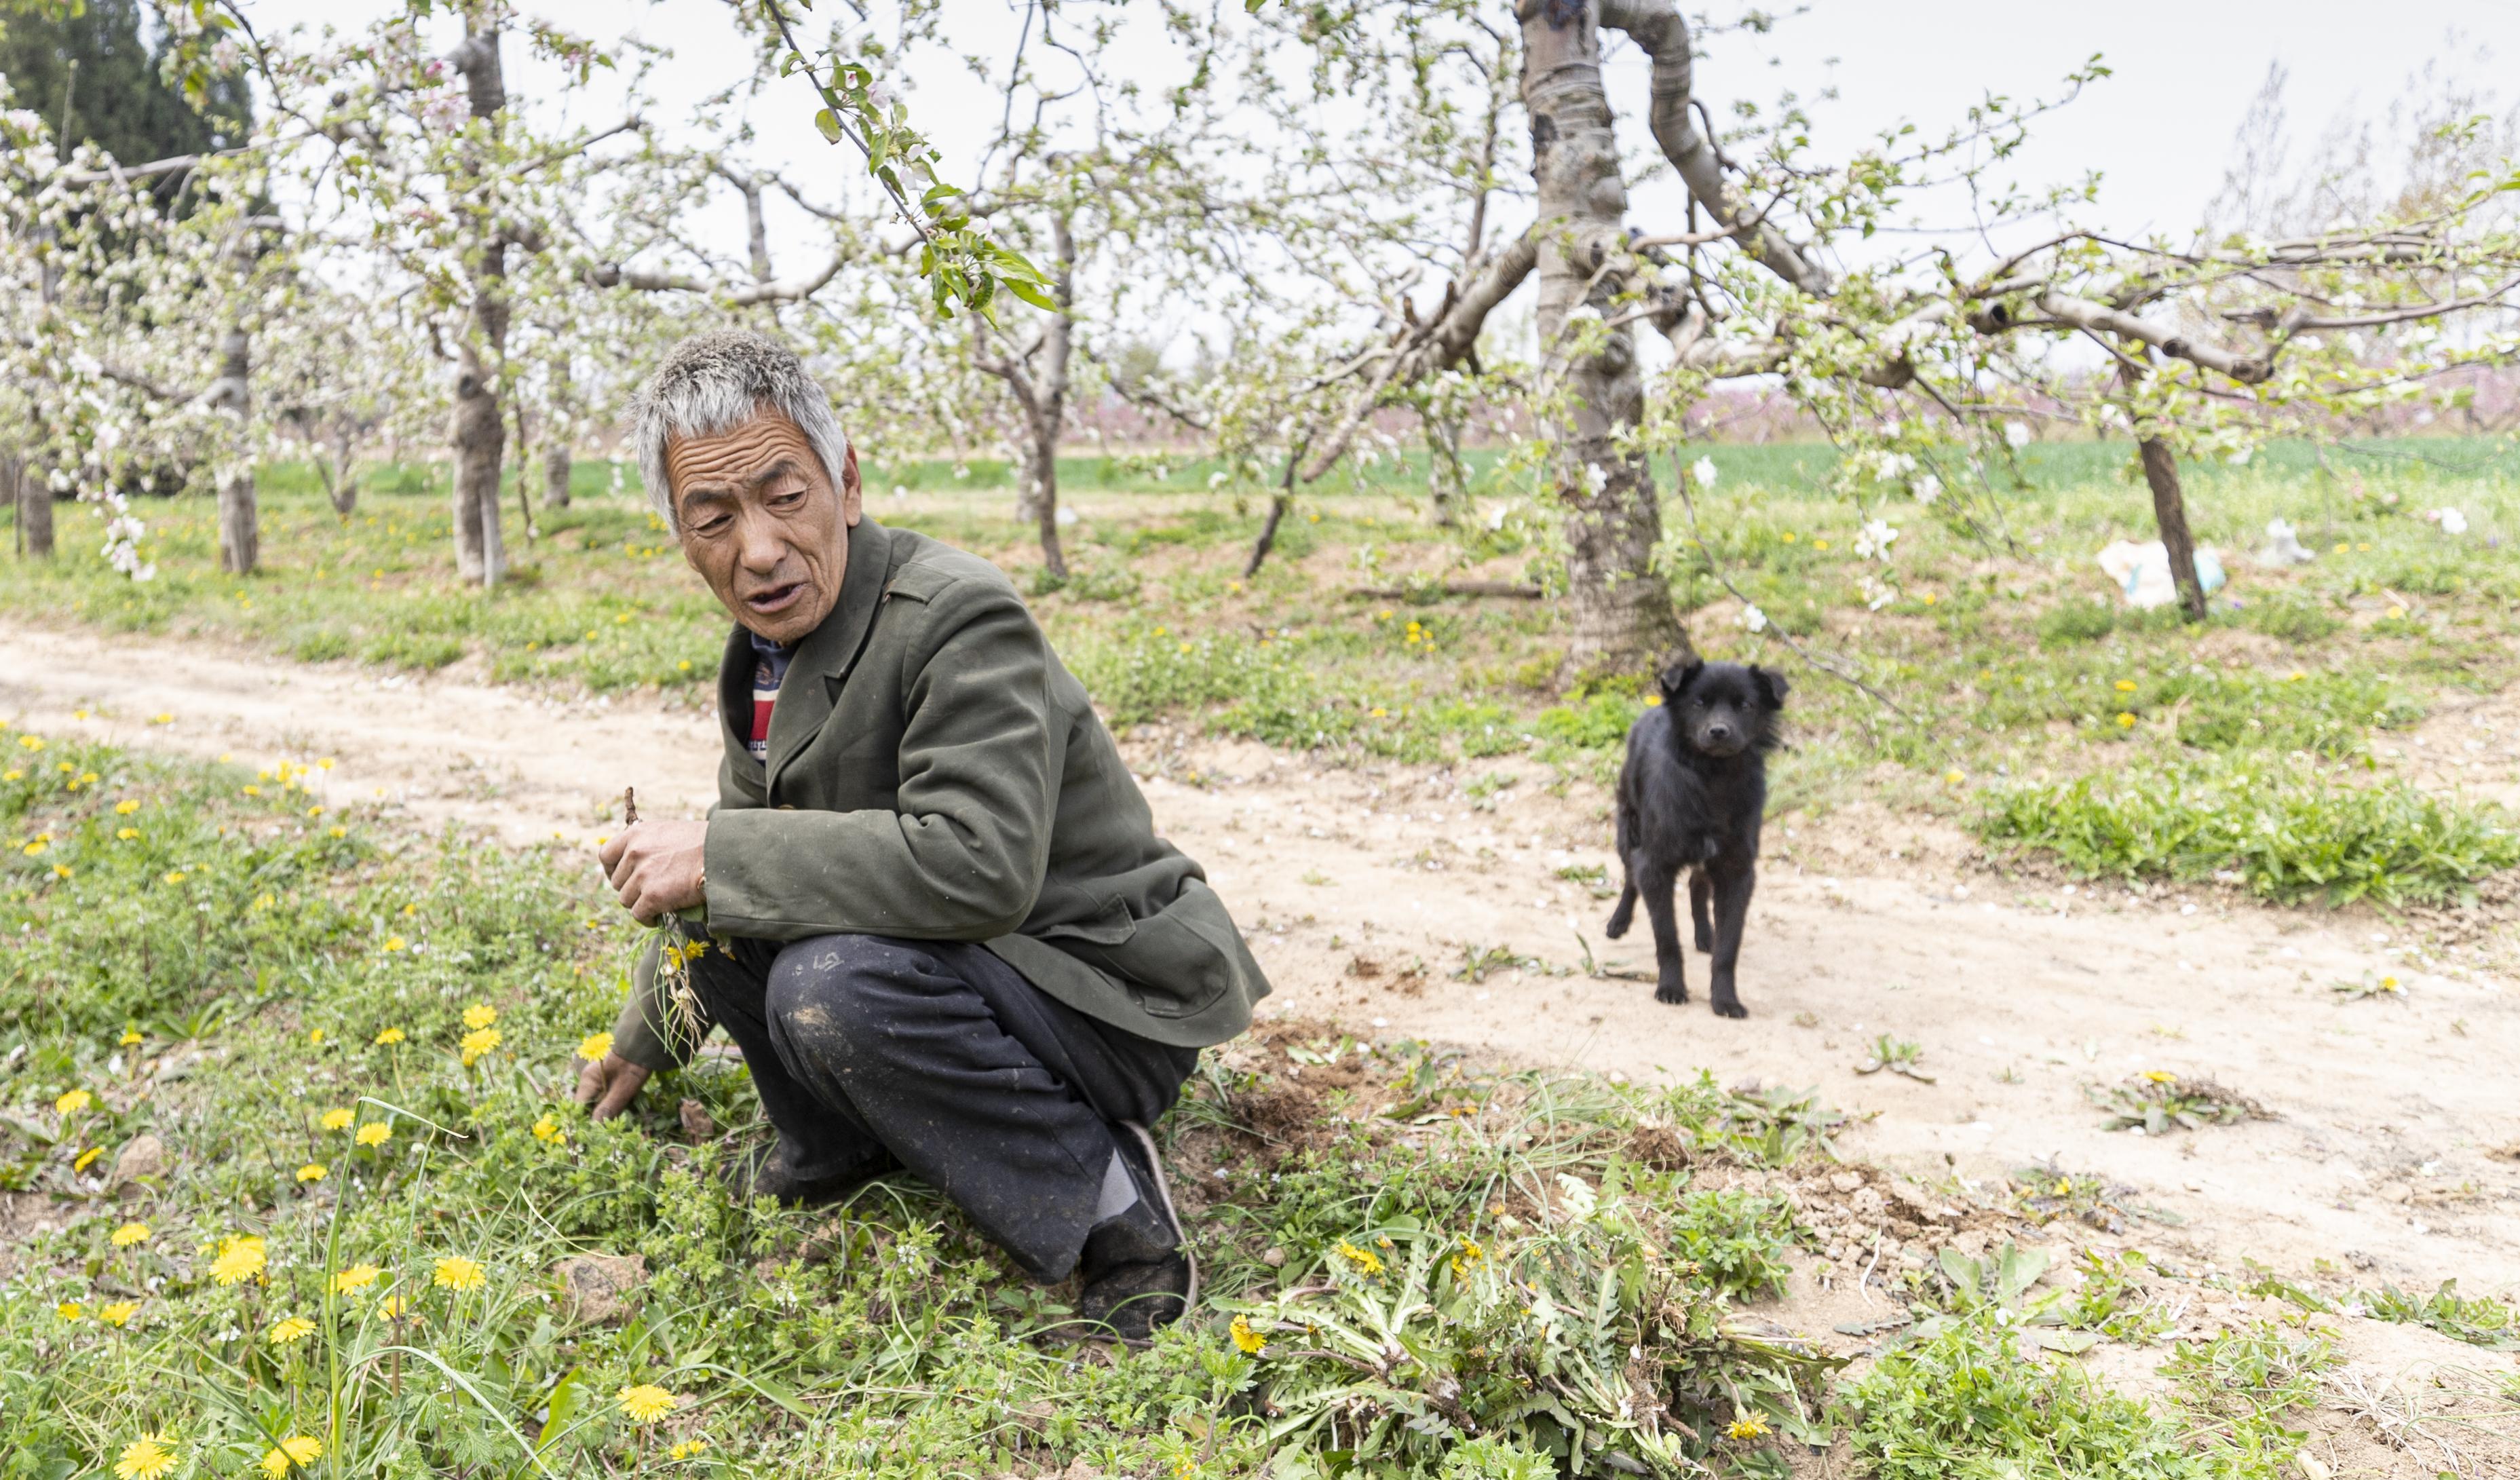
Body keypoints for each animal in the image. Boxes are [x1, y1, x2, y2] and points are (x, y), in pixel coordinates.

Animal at [1603, 660, 1784, 1019]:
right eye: (1699, 703)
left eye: (1746, 705)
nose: (1719, 731)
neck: (1713, 778)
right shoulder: (1655, 864)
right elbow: (1667, 937)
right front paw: (1671, 988)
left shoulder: (1737, 871)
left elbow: (1729, 947)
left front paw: (1726, 999)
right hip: (1629, 832)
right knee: (1630, 879)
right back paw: (1618, 922)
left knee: (1696, 884)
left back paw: (1705, 934)